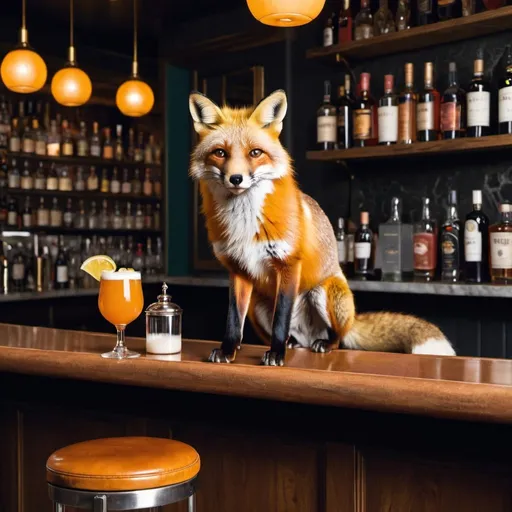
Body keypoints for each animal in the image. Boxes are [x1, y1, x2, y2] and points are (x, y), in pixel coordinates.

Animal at [189, 89, 456, 368]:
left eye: (255, 153)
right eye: (220, 153)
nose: (236, 179)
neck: (244, 222)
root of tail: (309, 336)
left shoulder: (288, 264)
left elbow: (281, 318)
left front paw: (276, 354)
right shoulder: (238, 270)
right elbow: (233, 320)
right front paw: (228, 350)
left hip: (324, 292)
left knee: (337, 338)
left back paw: (322, 344)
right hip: (259, 305)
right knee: (292, 336)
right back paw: (291, 344)